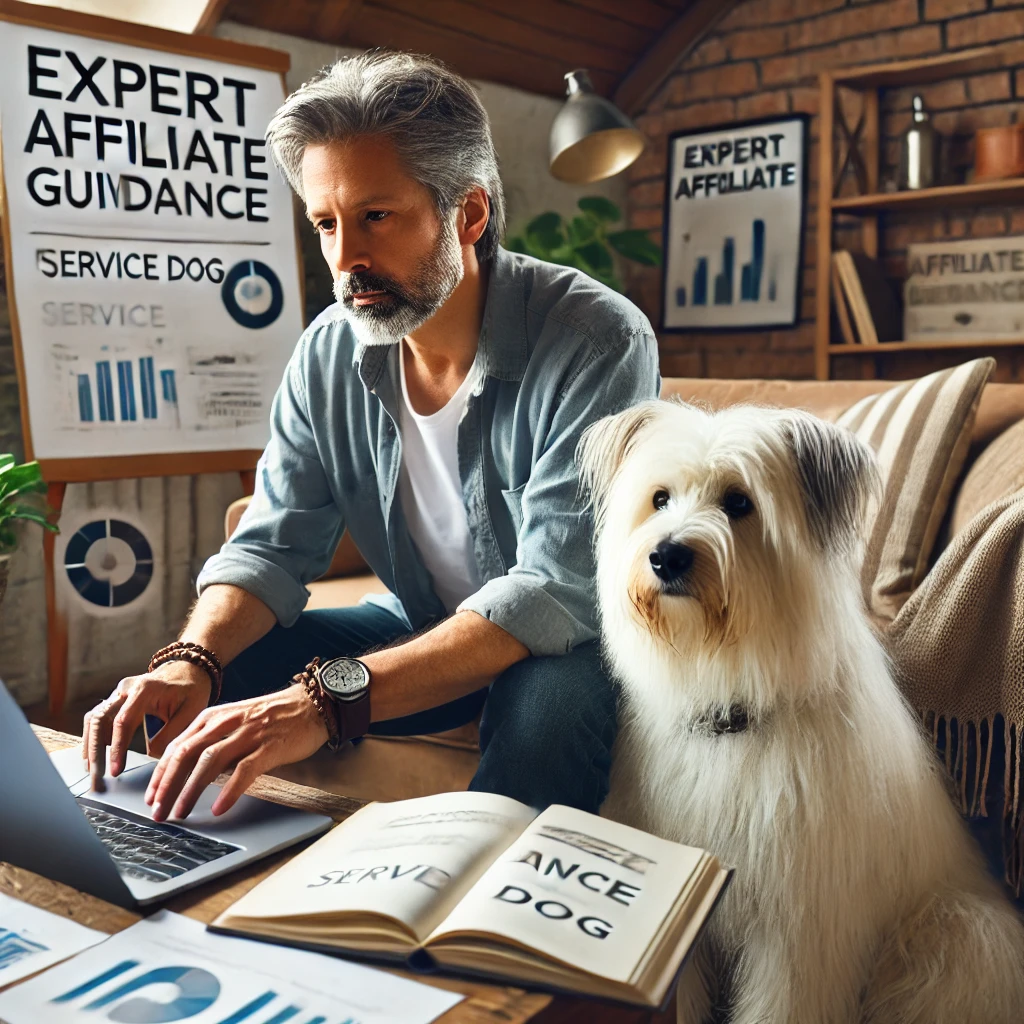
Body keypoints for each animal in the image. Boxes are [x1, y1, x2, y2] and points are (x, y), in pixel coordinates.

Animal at [585, 399, 1024, 1024]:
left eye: (738, 502)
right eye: (660, 498)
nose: (665, 556)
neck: (732, 702)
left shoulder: (798, 935)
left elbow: (782, 1005)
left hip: (958, 937)